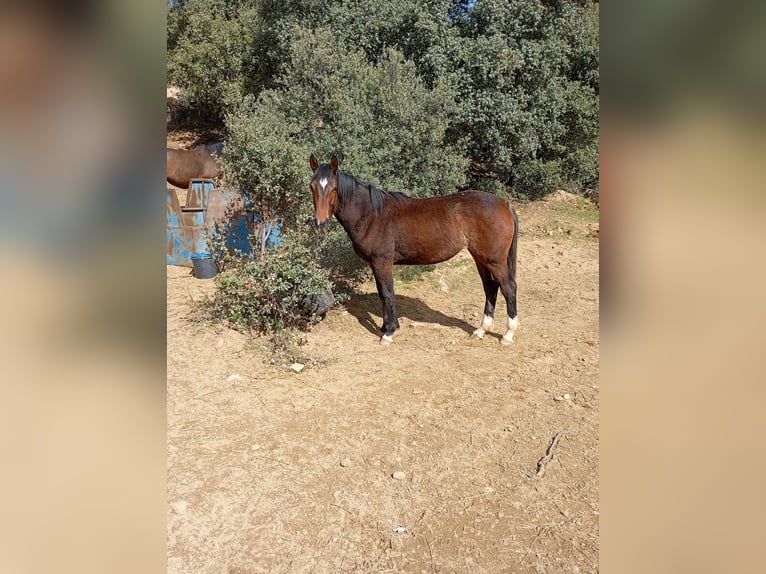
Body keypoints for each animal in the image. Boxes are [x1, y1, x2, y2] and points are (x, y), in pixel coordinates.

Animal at [309, 155, 519, 346]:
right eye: (312, 186)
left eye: (334, 189)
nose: (321, 224)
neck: (372, 215)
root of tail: (504, 204)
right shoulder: (376, 264)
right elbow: (382, 293)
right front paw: (385, 327)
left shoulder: (382, 262)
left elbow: (387, 293)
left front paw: (389, 332)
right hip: (480, 258)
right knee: (490, 287)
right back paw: (481, 330)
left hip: (494, 261)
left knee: (508, 288)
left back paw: (508, 335)